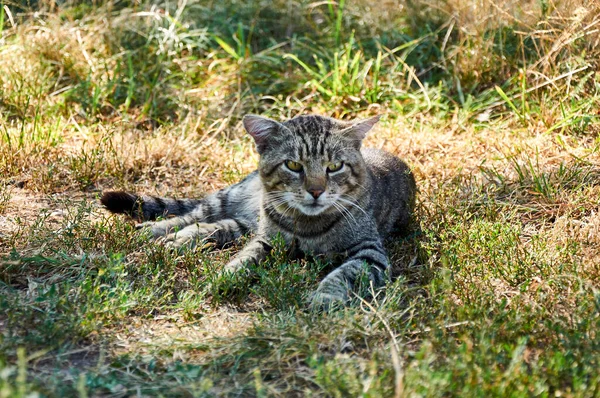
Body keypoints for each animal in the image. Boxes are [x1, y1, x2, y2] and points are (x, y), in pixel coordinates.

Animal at [101, 113, 414, 310]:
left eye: (335, 166)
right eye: (294, 166)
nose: (316, 191)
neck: (306, 225)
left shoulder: (370, 253)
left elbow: (343, 274)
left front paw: (324, 297)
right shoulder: (266, 240)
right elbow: (244, 258)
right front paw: (225, 276)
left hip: (244, 223)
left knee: (217, 226)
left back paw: (179, 239)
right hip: (228, 200)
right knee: (195, 214)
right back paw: (155, 231)